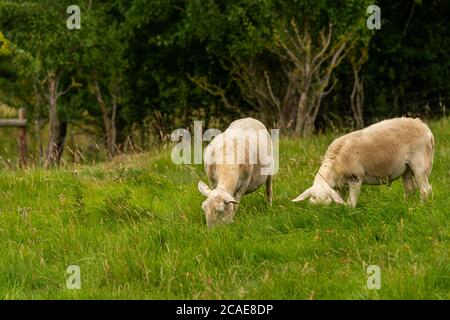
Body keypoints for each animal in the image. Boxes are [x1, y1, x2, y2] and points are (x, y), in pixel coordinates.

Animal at [294, 117, 434, 208]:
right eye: (313, 200)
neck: (334, 164)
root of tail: (425, 127)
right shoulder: (341, 185)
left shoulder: (355, 177)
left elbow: (350, 203)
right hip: (406, 168)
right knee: (410, 188)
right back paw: (405, 206)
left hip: (420, 163)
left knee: (425, 190)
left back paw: (420, 207)